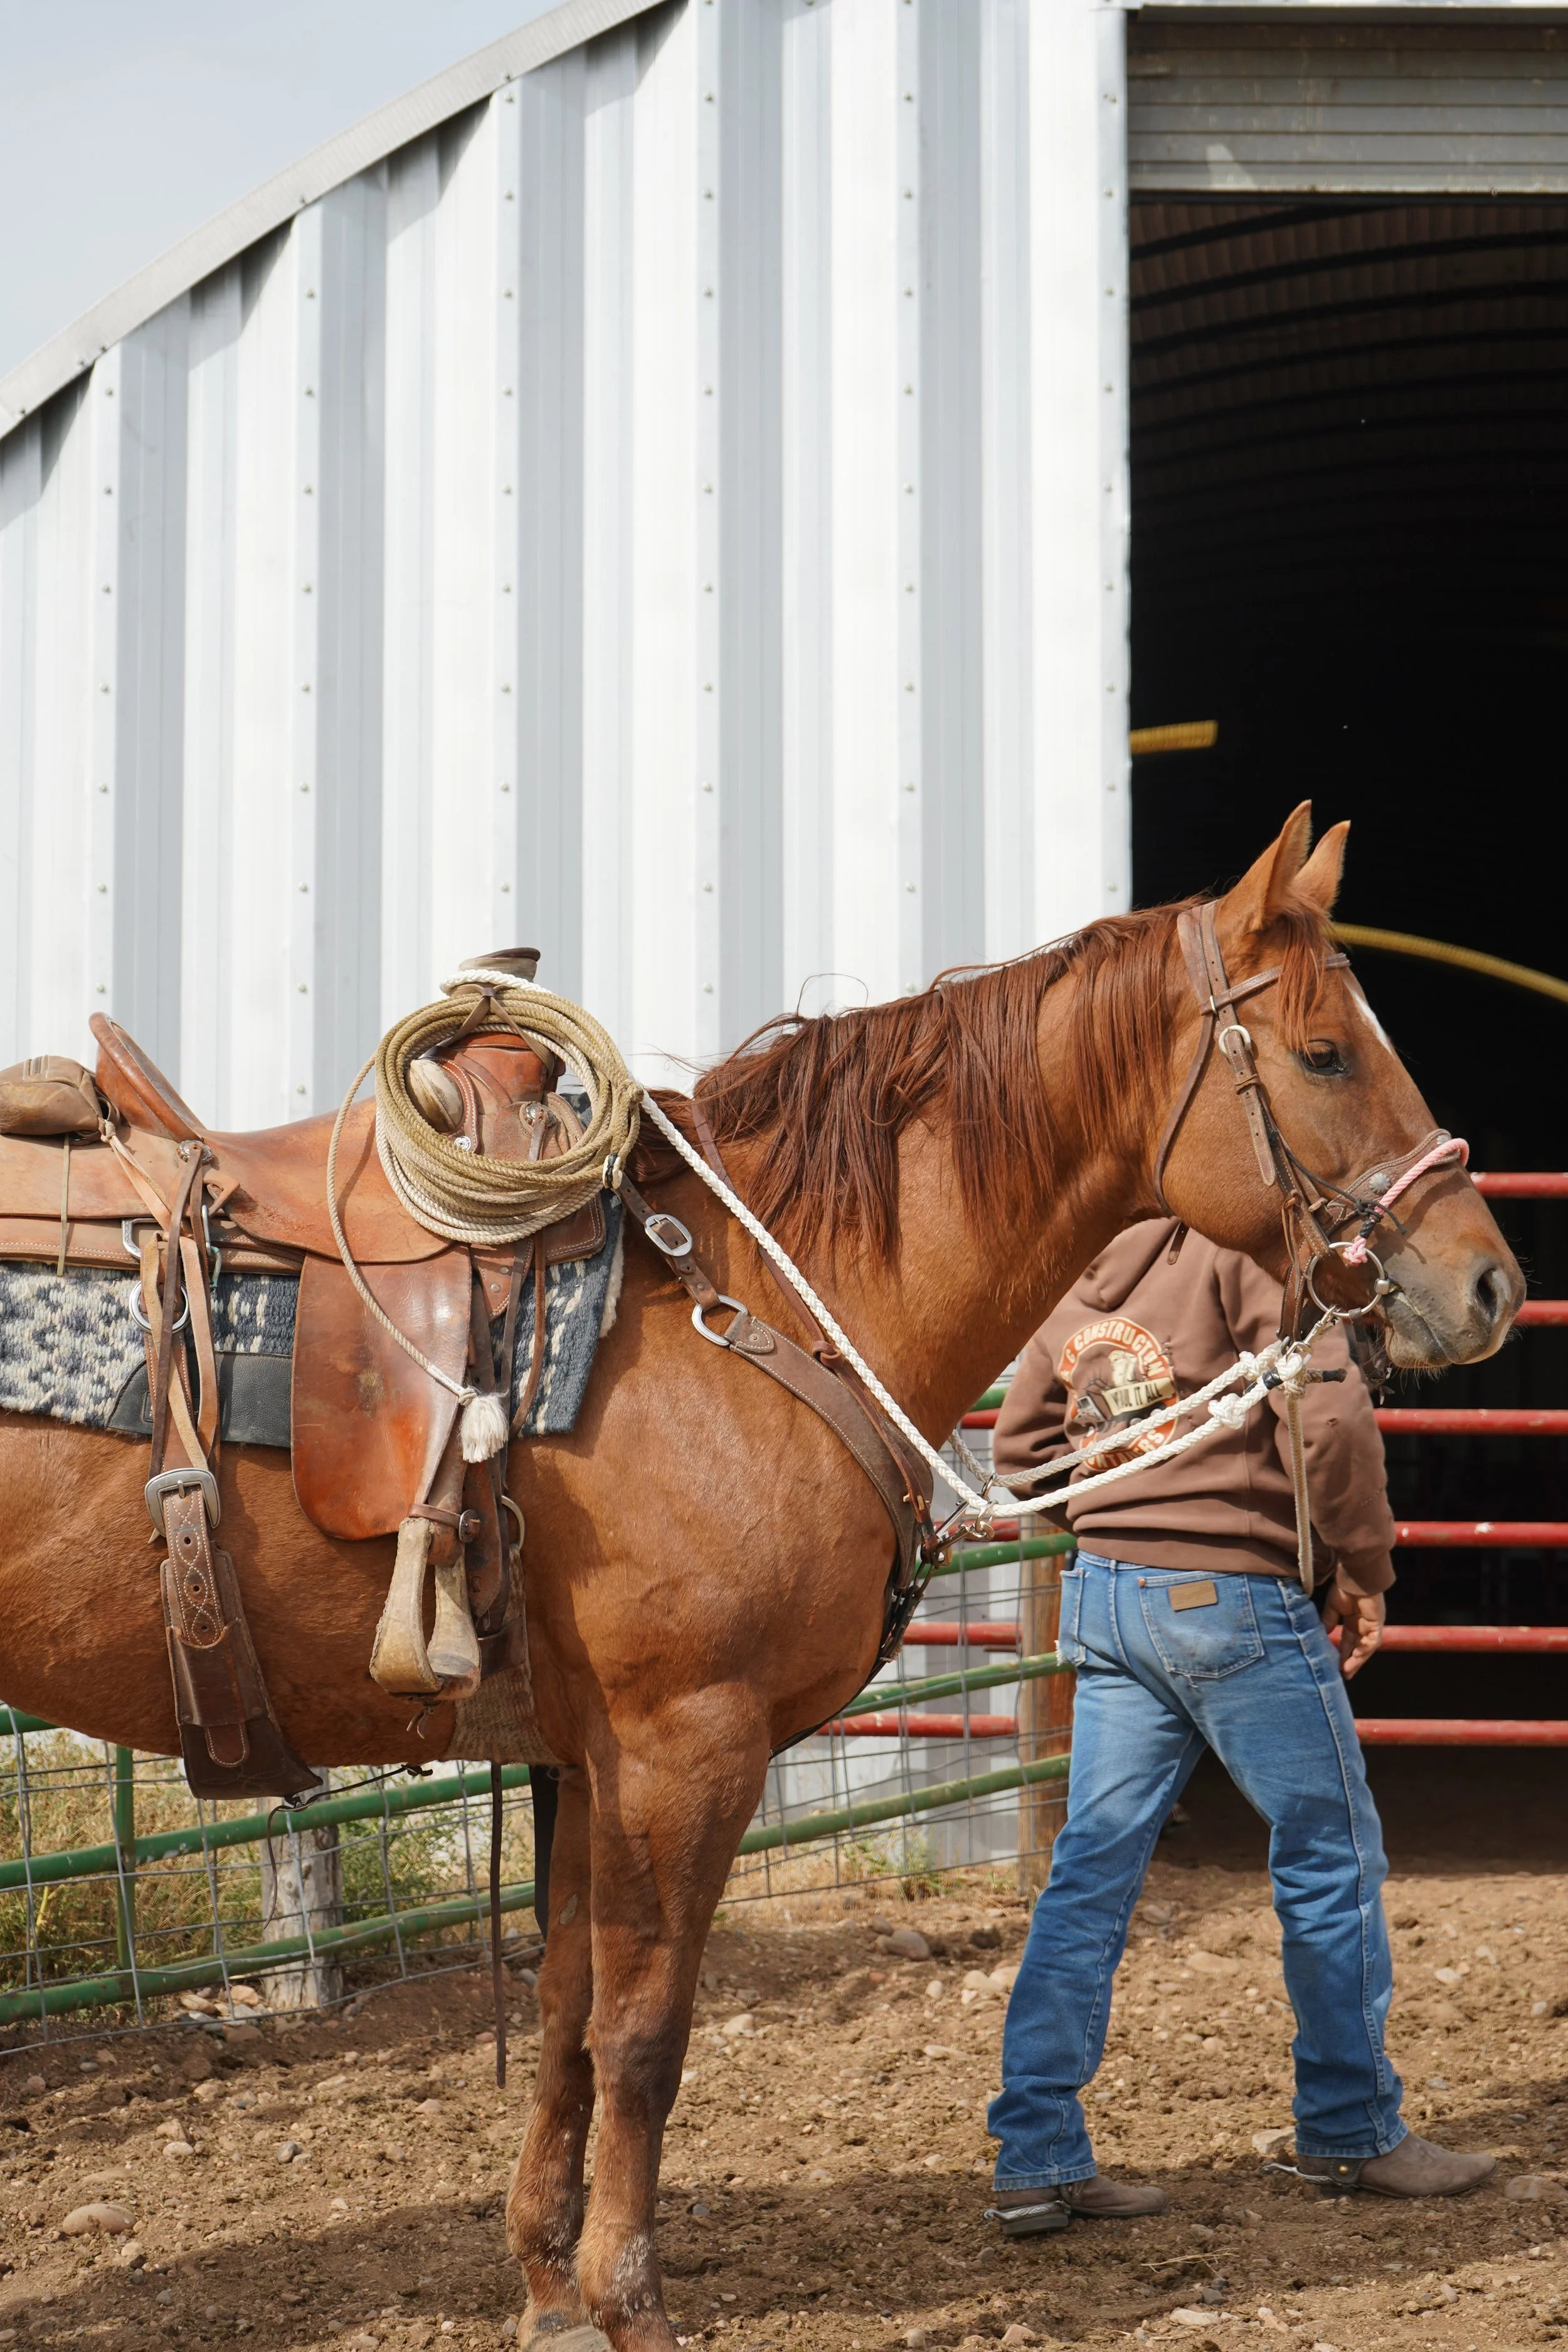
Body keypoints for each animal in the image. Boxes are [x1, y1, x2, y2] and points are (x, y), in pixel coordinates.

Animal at [0, 807, 1521, 2350]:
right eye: (1324, 1053)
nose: (1488, 1286)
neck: (755, 1299)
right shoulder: (688, 1745)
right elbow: (645, 2033)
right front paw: (629, 2301)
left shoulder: (588, 1759)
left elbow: (566, 2015)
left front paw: (548, 2289)